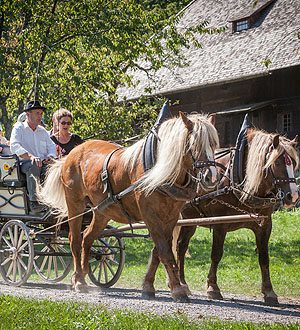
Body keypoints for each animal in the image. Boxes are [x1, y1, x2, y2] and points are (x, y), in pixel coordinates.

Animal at [38, 109, 219, 302]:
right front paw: (177, 289)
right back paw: (78, 280)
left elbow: (158, 251)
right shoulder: (150, 216)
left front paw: (149, 287)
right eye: (194, 144)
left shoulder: (170, 218)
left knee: (87, 237)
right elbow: (164, 251)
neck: (159, 170)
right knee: (75, 240)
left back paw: (82, 274)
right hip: (75, 204)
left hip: (102, 210)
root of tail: (72, 154)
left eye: (214, 143)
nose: (211, 177)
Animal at [173, 125, 298, 306]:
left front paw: (269, 291)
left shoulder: (265, 225)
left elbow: (264, 257)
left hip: (190, 219)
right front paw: (213, 287)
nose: (293, 196)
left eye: (293, 162)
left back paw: (182, 282)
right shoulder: (220, 224)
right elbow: (216, 254)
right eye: (277, 162)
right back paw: (179, 283)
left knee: (181, 246)